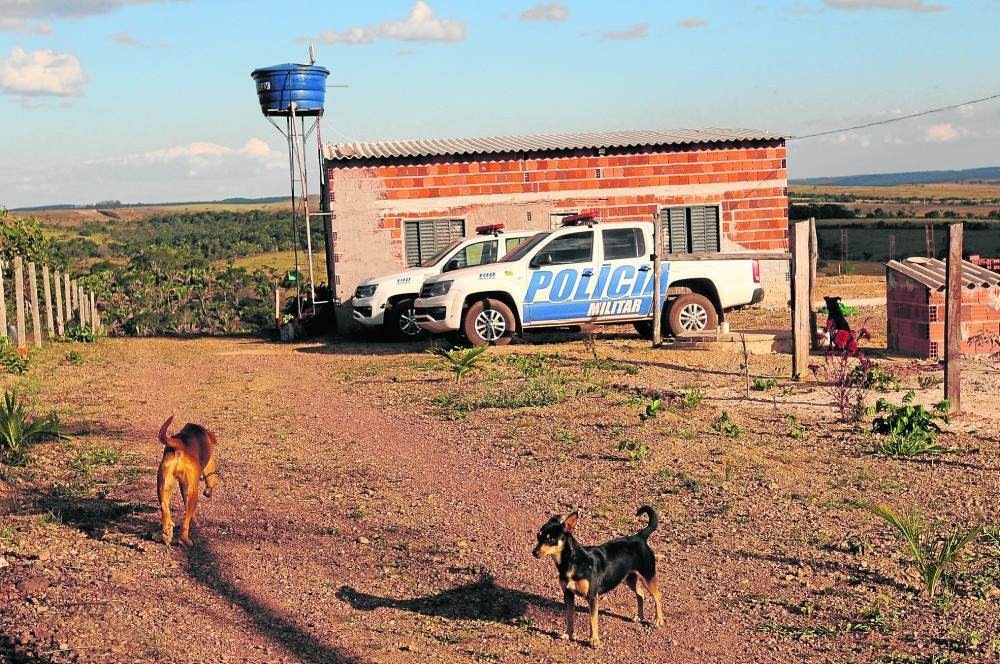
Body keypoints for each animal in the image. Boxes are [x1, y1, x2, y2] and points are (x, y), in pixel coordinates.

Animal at [156, 418, 219, 548]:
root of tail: (180, 445)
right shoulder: (209, 467)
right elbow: (211, 481)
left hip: (163, 486)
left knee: (164, 508)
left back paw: (167, 534)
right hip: (192, 493)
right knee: (185, 523)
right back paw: (185, 540)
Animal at [532, 506, 664, 644]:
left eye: (550, 539)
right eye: (538, 536)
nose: (534, 552)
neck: (571, 561)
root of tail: (639, 537)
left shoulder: (591, 596)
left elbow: (593, 620)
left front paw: (594, 640)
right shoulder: (568, 594)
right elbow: (569, 616)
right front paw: (568, 634)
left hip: (648, 576)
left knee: (657, 596)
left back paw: (658, 620)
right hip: (630, 579)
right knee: (641, 594)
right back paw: (639, 616)